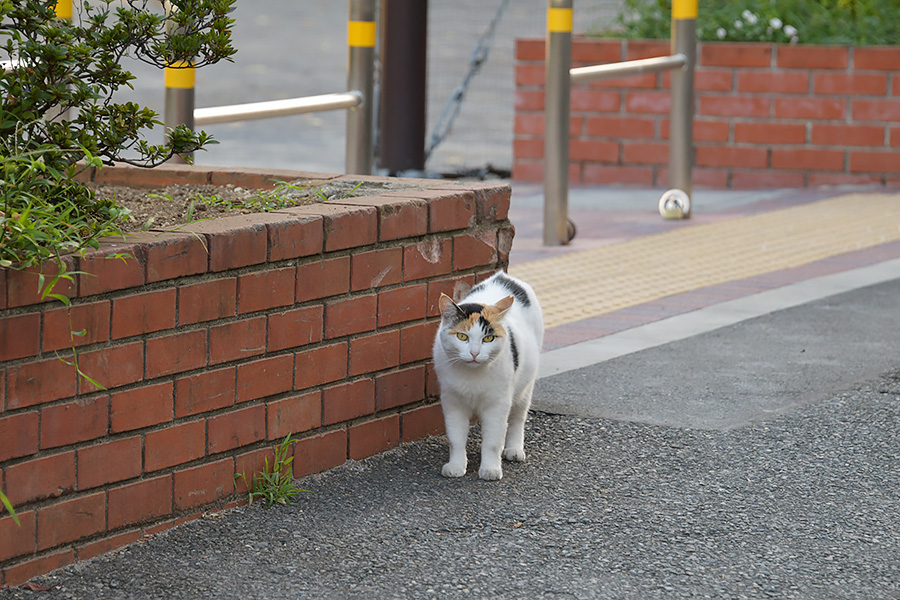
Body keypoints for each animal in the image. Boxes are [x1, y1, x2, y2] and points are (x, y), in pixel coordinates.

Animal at [432, 270, 544, 480]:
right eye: (462, 336)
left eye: (488, 338)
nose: (475, 353)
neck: (472, 377)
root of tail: (503, 277)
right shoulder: (452, 402)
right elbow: (455, 438)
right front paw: (456, 466)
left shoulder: (497, 405)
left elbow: (492, 442)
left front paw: (490, 469)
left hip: (525, 387)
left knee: (517, 419)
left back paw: (514, 449)